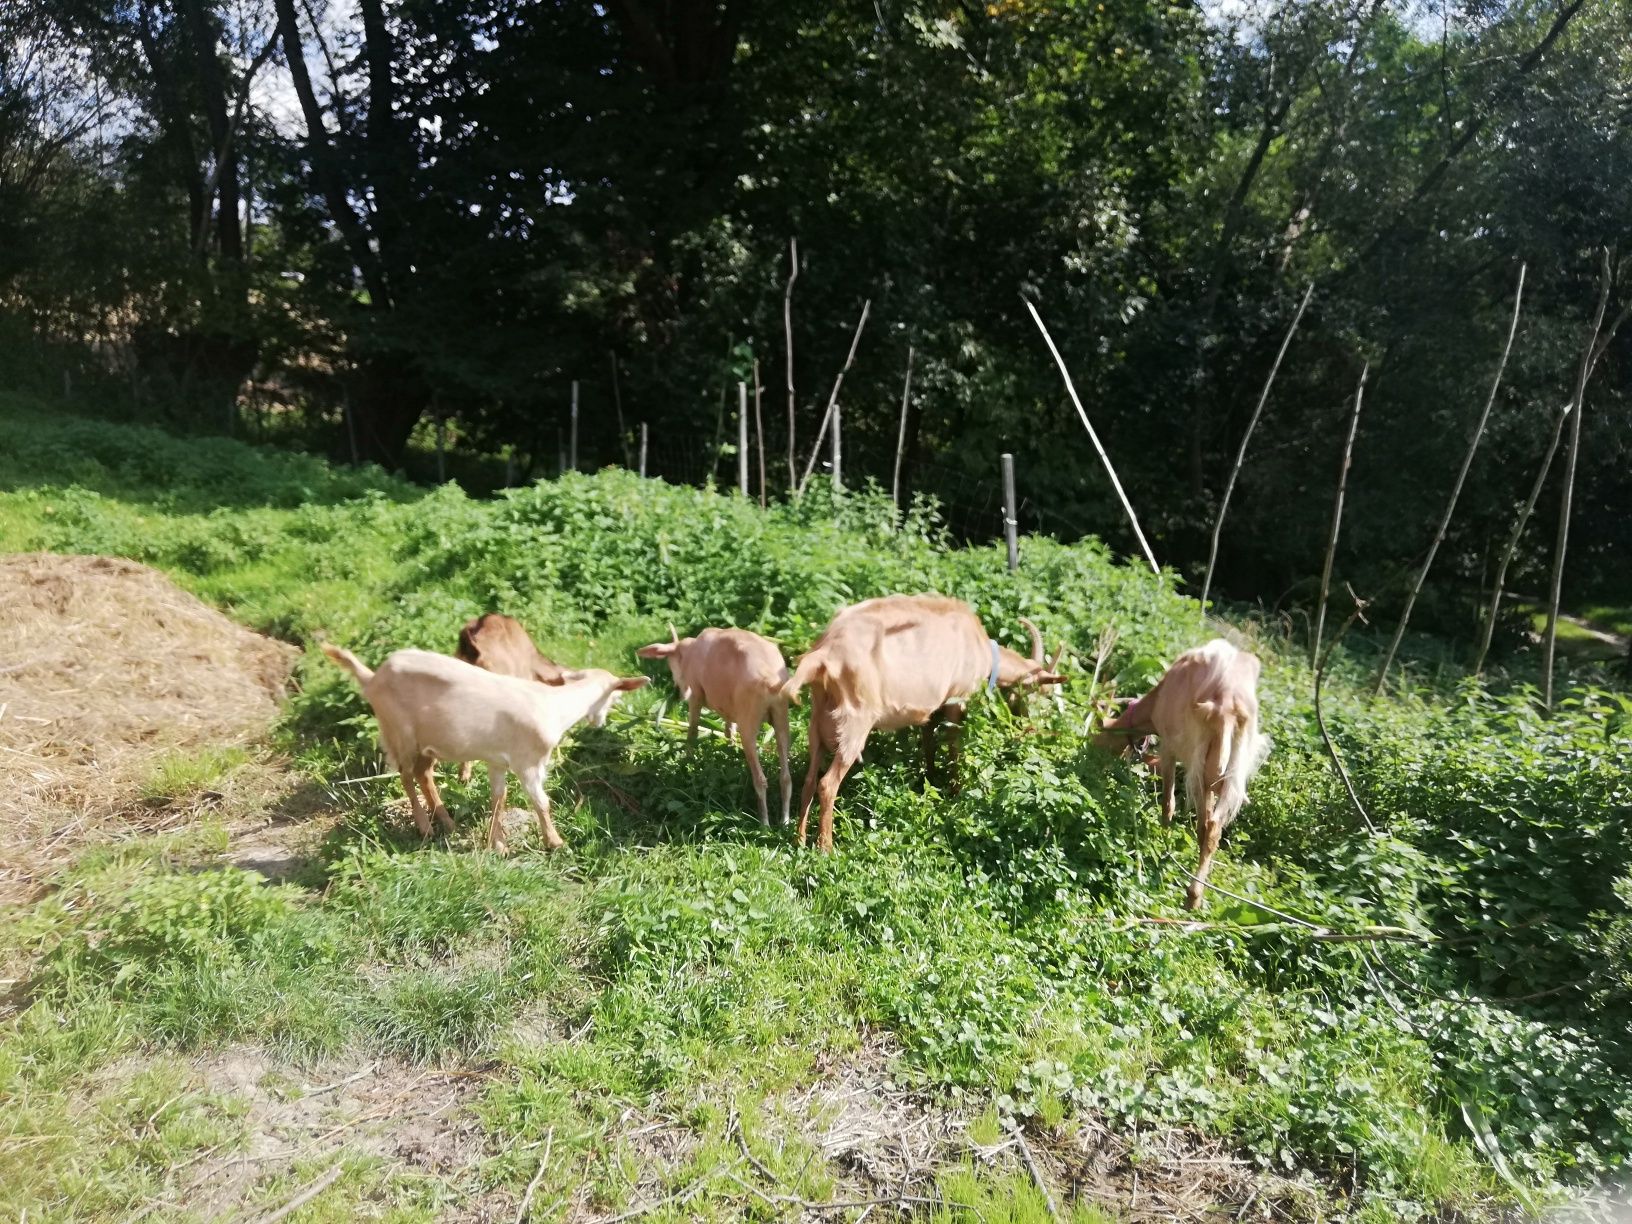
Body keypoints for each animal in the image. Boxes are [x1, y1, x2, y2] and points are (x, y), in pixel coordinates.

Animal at [321, 646, 646, 855]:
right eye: (615, 698)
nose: (600, 722)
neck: (553, 705)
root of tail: (372, 678)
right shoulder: (529, 764)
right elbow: (541, 802)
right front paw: (555, 843)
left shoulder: (497, 761)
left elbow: (498, 798)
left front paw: (497, 844)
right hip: (400, 733)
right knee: (405, 775)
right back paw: (425, 827)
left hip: (426, 743)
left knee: (423, 774)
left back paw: (447, 822)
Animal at [633, 626, 793, 829]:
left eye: (671, 664)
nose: (679, 693)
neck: (690, 650)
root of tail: (771, 682)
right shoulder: (730, 709)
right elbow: (728, 730)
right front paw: (731, 750)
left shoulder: (696, 694)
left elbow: (693, 730)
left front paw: (687, 760)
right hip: (781, 718)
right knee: (786, 777)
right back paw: (785, 822)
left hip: (749, 723)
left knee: (760, 779)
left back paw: (764, 825)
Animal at [1096, 643, 1272, 913]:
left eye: (1101, 737)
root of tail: (1228, 707)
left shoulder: (1169, 746)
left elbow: (1168, 804)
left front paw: (1163, 841)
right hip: (1232, 768)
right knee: (1213, 828)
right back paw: (1198, 893)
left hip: (1198, 760)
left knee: (1205, 823)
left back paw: (1192, 895)